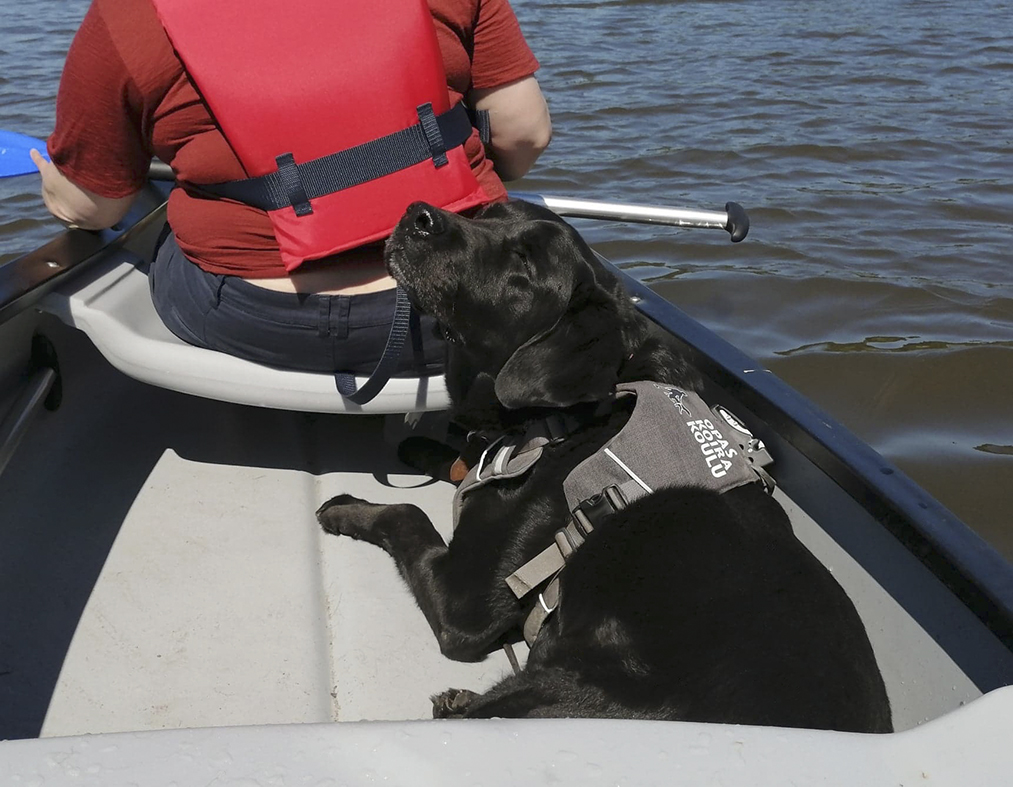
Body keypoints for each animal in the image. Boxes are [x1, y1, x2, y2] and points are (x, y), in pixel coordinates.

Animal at [314, 198, 887, 729]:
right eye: (486, 212)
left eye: (524, 263)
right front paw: (424, 450)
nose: (418, 214)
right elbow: (466, 461)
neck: (578, 415)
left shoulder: (466, 605)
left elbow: (407, 514)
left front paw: (343, 507)